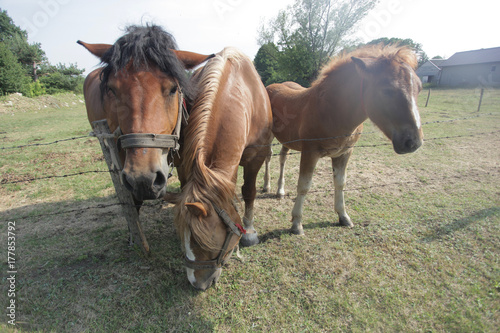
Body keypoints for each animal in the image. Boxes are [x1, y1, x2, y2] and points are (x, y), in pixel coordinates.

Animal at [266, 45, 422, 235]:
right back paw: (266, 186)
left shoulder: (344, 153)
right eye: (387, 90)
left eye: (419, 88)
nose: (413, 141)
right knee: (268, 156)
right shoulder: (310, 152)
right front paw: (296, 224)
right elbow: (304, 185)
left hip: (288, 140)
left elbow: (340, 182)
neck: (332, 110)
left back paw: (280, 190)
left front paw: (343, 216)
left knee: (282, 158)